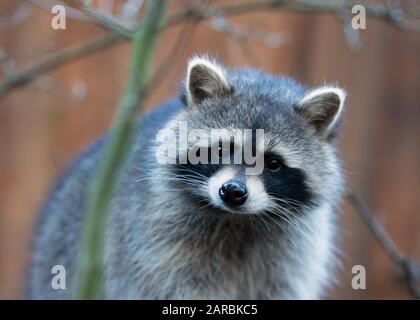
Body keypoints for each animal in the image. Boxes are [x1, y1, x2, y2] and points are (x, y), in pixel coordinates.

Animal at [27, 57, 346, 300]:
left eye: (273, 163)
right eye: (222, 149)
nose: (233, 191)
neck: (237, 219)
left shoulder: (291, 256)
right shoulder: (154, 242)